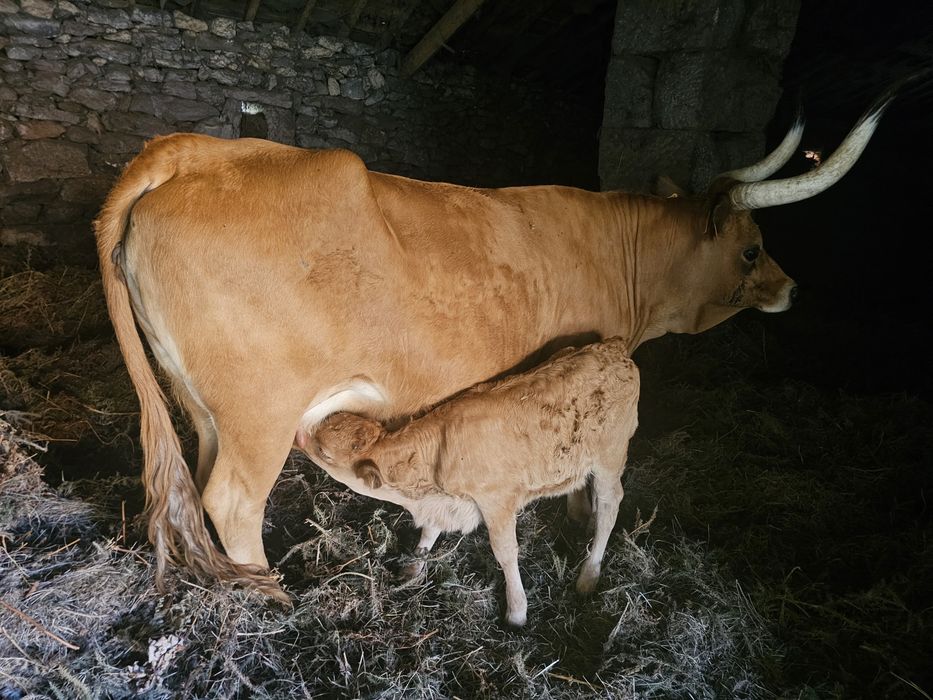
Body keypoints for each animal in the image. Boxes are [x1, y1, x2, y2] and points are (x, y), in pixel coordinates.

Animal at [297, 337, 639, 627]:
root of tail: (613, 349)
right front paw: (413, 568)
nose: (299, 435)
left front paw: (517, 612)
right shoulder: (443, 502)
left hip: (610, 457)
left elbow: (505, 552)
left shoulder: (497, 501)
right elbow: (430, 530)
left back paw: (589, 574)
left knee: (610, 506)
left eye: (325, 451)